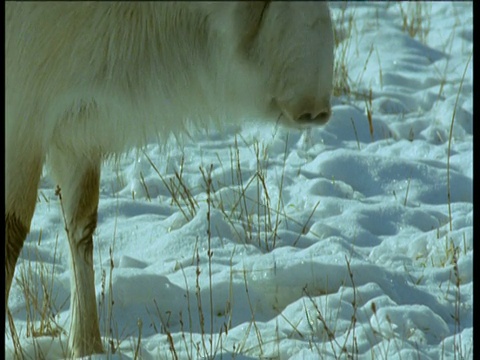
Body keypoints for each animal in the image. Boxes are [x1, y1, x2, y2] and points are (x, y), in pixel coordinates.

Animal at [5, 1, 334, 358]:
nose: (317, 107)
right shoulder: (24, 115)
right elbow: (13, 231)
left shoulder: (76, 131)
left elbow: (82, 227)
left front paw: (88, 345)